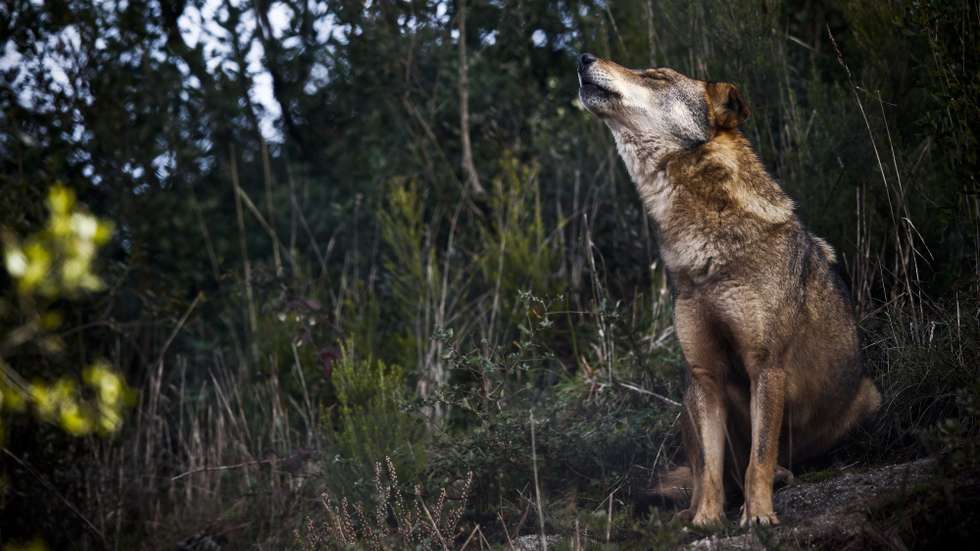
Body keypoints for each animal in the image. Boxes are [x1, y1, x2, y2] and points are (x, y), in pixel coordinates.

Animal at [577, 53, 881, 527]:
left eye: (655, 76)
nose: (583, 57)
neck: (703, 248)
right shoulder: (706, 376)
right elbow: (711, 467)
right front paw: (705, 520)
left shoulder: (765, 367)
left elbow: (759, 456)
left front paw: (758, 517)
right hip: (687, 396)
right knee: (707, 468)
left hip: (869, 398)